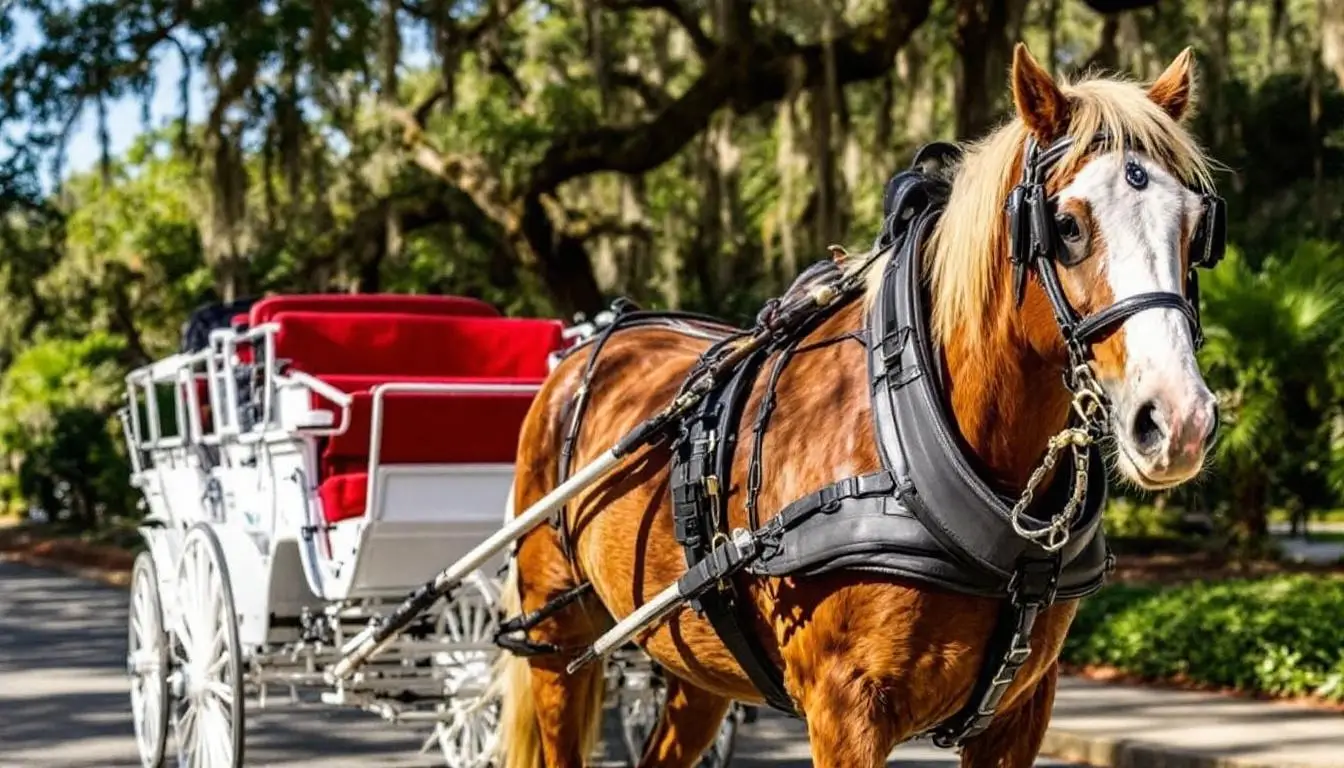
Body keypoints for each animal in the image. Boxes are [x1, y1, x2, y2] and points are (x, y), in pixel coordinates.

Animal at [496, 43, 1221, 767]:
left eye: (1195, 230)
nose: (1179, 420)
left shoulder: (1020, 711)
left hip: (692, 662)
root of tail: (594, 342)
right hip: (557, 638)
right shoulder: (845, 710)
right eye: (1066, 225)